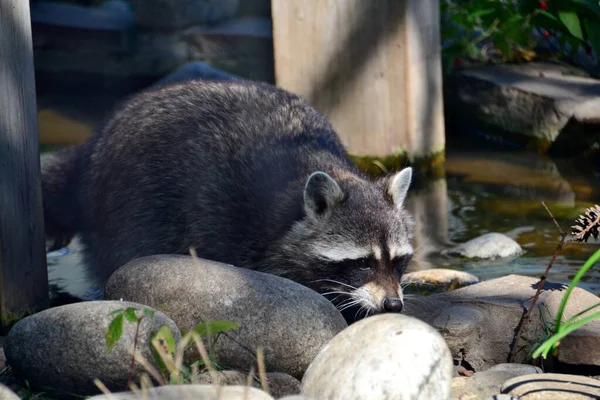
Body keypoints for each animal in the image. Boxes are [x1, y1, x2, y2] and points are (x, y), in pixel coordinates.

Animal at [42, 78, 414, 322]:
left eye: (398, 261)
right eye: (363, 262)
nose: (393, 306)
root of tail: (94, 148)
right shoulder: (232, 223)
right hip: (123, 200)